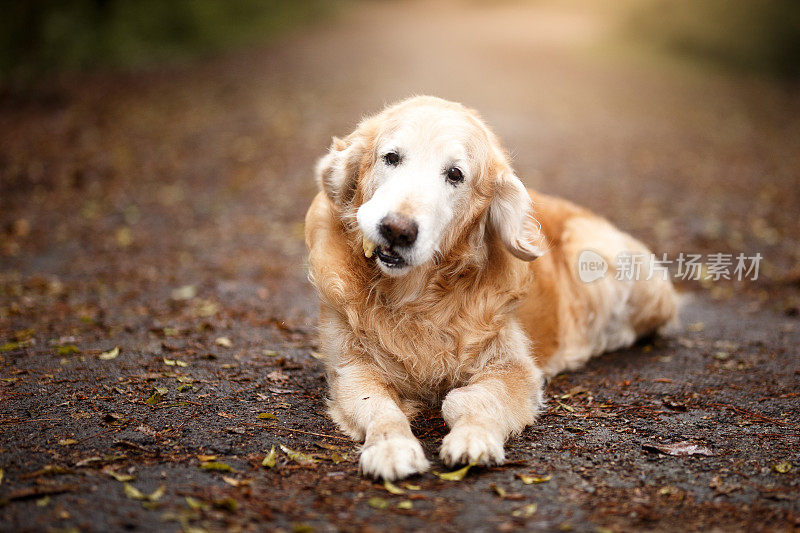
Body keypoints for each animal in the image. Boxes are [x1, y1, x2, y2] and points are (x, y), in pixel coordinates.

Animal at [304, 94, 680, 478]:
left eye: (455, 175)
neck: (415, 296)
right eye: (391, 157)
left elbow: (471, 400)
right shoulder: (352, 369)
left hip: (593, 253)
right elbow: (380, 407)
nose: (397, 230)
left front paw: (473, 436)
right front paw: (392, 447)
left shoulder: (513, 369)